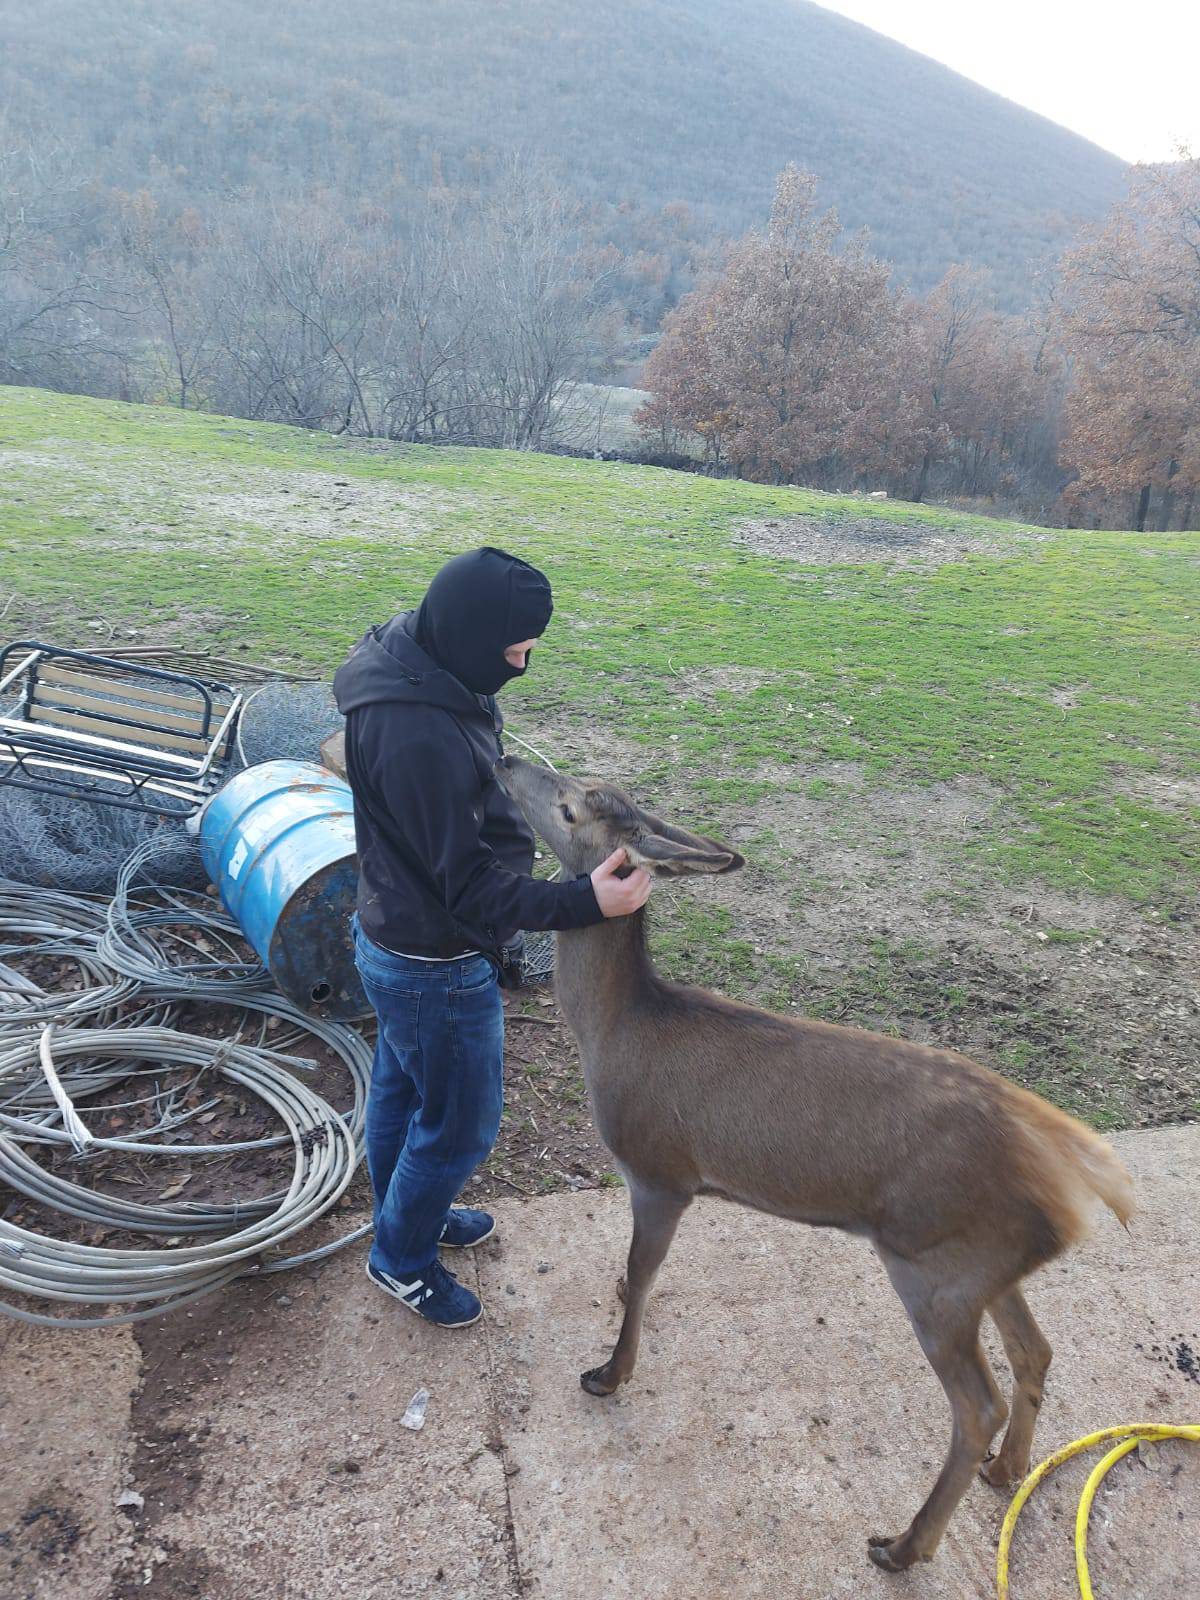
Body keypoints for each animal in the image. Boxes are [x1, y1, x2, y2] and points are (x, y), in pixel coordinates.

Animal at [489, 755, 1139, 1568]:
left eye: (570, 808)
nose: (506, 759)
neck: (613, 1032)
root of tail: (1076, 1181)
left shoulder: (661, 1169)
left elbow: (641, 1274)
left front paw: (609, 1374)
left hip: (935, 1269)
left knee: (976, 1403)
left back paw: (904, 1545)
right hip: (983, 1264)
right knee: (1036, 1351)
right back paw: (1009, 1470)